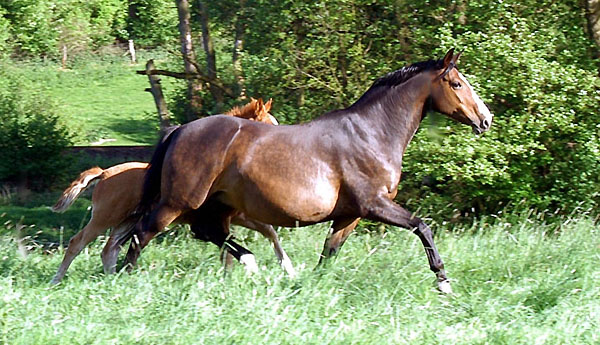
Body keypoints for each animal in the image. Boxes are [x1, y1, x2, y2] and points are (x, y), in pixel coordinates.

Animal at [50, 96, 294, 282]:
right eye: (269, 125)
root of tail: (104, 173)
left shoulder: (238, 217)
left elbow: (268, 233)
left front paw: (287, 269)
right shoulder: (226, 218)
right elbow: (244, 241)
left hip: (126, 221)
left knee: (110, 249)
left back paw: (112, 279)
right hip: (105, 217)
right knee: (78, 242)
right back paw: (57, 280)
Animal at [126, 48, 492, 292]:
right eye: (457, 84)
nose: (485, 119)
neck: (371, 133)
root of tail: (181, 130)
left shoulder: (350, 215)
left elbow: (329, 253)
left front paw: (309, 285)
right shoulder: (375, 205)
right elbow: (422, 227)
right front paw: (443, 281)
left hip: (216, 205)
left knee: (209, 233)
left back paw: (249, 261)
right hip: (179, 202)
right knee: (144, 232)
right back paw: (123, 277)